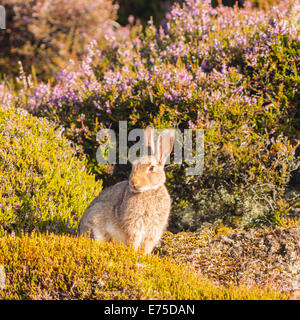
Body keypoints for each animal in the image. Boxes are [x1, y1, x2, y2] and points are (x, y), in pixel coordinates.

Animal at [78, 126, 175, 254]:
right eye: (134, 167)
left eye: (151, 168)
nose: (133, 182)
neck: (148, 191)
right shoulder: (133, 226)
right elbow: (133, 241)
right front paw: (133, 253)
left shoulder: (153, 231)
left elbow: (146, 246)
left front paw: (144, 256)